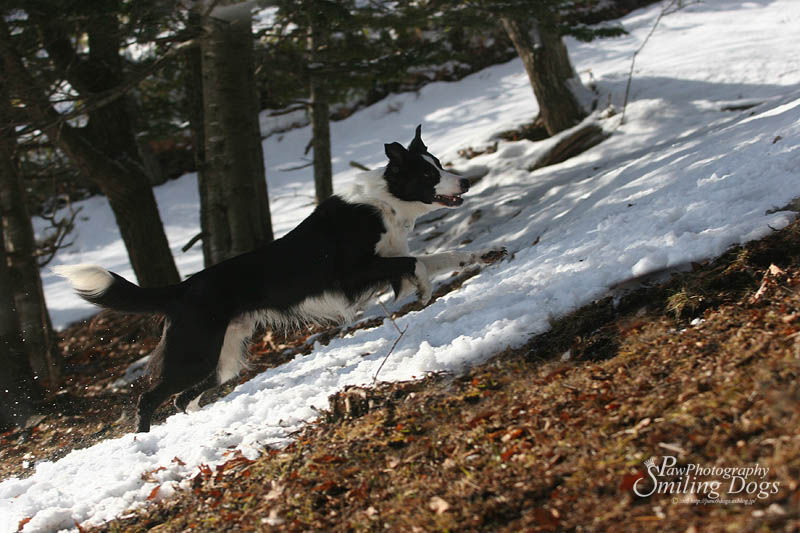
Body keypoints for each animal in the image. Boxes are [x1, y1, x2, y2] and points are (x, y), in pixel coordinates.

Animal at [56, 125, 506, 432]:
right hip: (195, 352)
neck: (385, 202)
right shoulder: (354, 273)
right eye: (429, 175)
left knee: (185, 398)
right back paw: (145, 442)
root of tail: (183, 287)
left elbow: (440, 256)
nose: (466, 181)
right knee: (149, 399)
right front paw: (425, 290)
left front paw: (485, 255)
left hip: (224, 356)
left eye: (440, 166)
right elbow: (415, 264)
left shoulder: (389, 256)